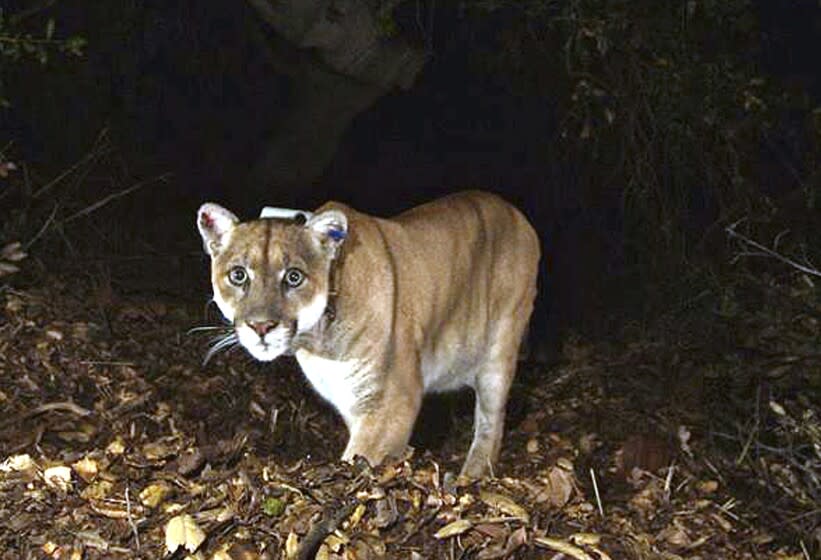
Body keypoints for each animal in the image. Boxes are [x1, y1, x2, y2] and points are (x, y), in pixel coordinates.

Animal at [198, 191, 540, 476]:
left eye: (294, 277)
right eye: (238, 275)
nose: (261, 326)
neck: (318, 342)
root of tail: (516, 212)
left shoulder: (392, 401)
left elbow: (359, 458)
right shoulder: (353, 401)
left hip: (499, 351)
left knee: (491, 422)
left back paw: (472, 474)